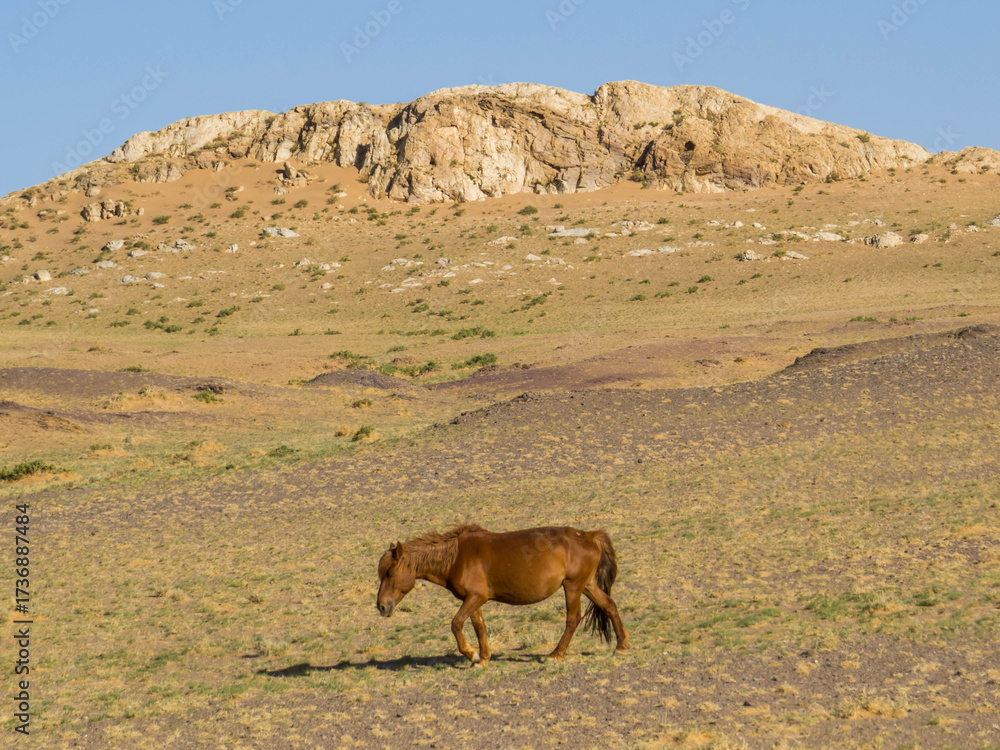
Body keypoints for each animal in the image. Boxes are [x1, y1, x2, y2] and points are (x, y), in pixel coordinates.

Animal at [376, 524, 630, 665]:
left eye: (390, 573)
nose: (381, 606)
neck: (457, 556)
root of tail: (589, 536)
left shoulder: (475, 598)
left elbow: (456, 624)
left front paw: (471, 654)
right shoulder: (473, 599)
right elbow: (479, 627)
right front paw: (483, 658)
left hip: (573, 587)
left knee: (573, 619)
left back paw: (556, 655)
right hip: (588, 586)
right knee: (609, 606)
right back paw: (621, 646)